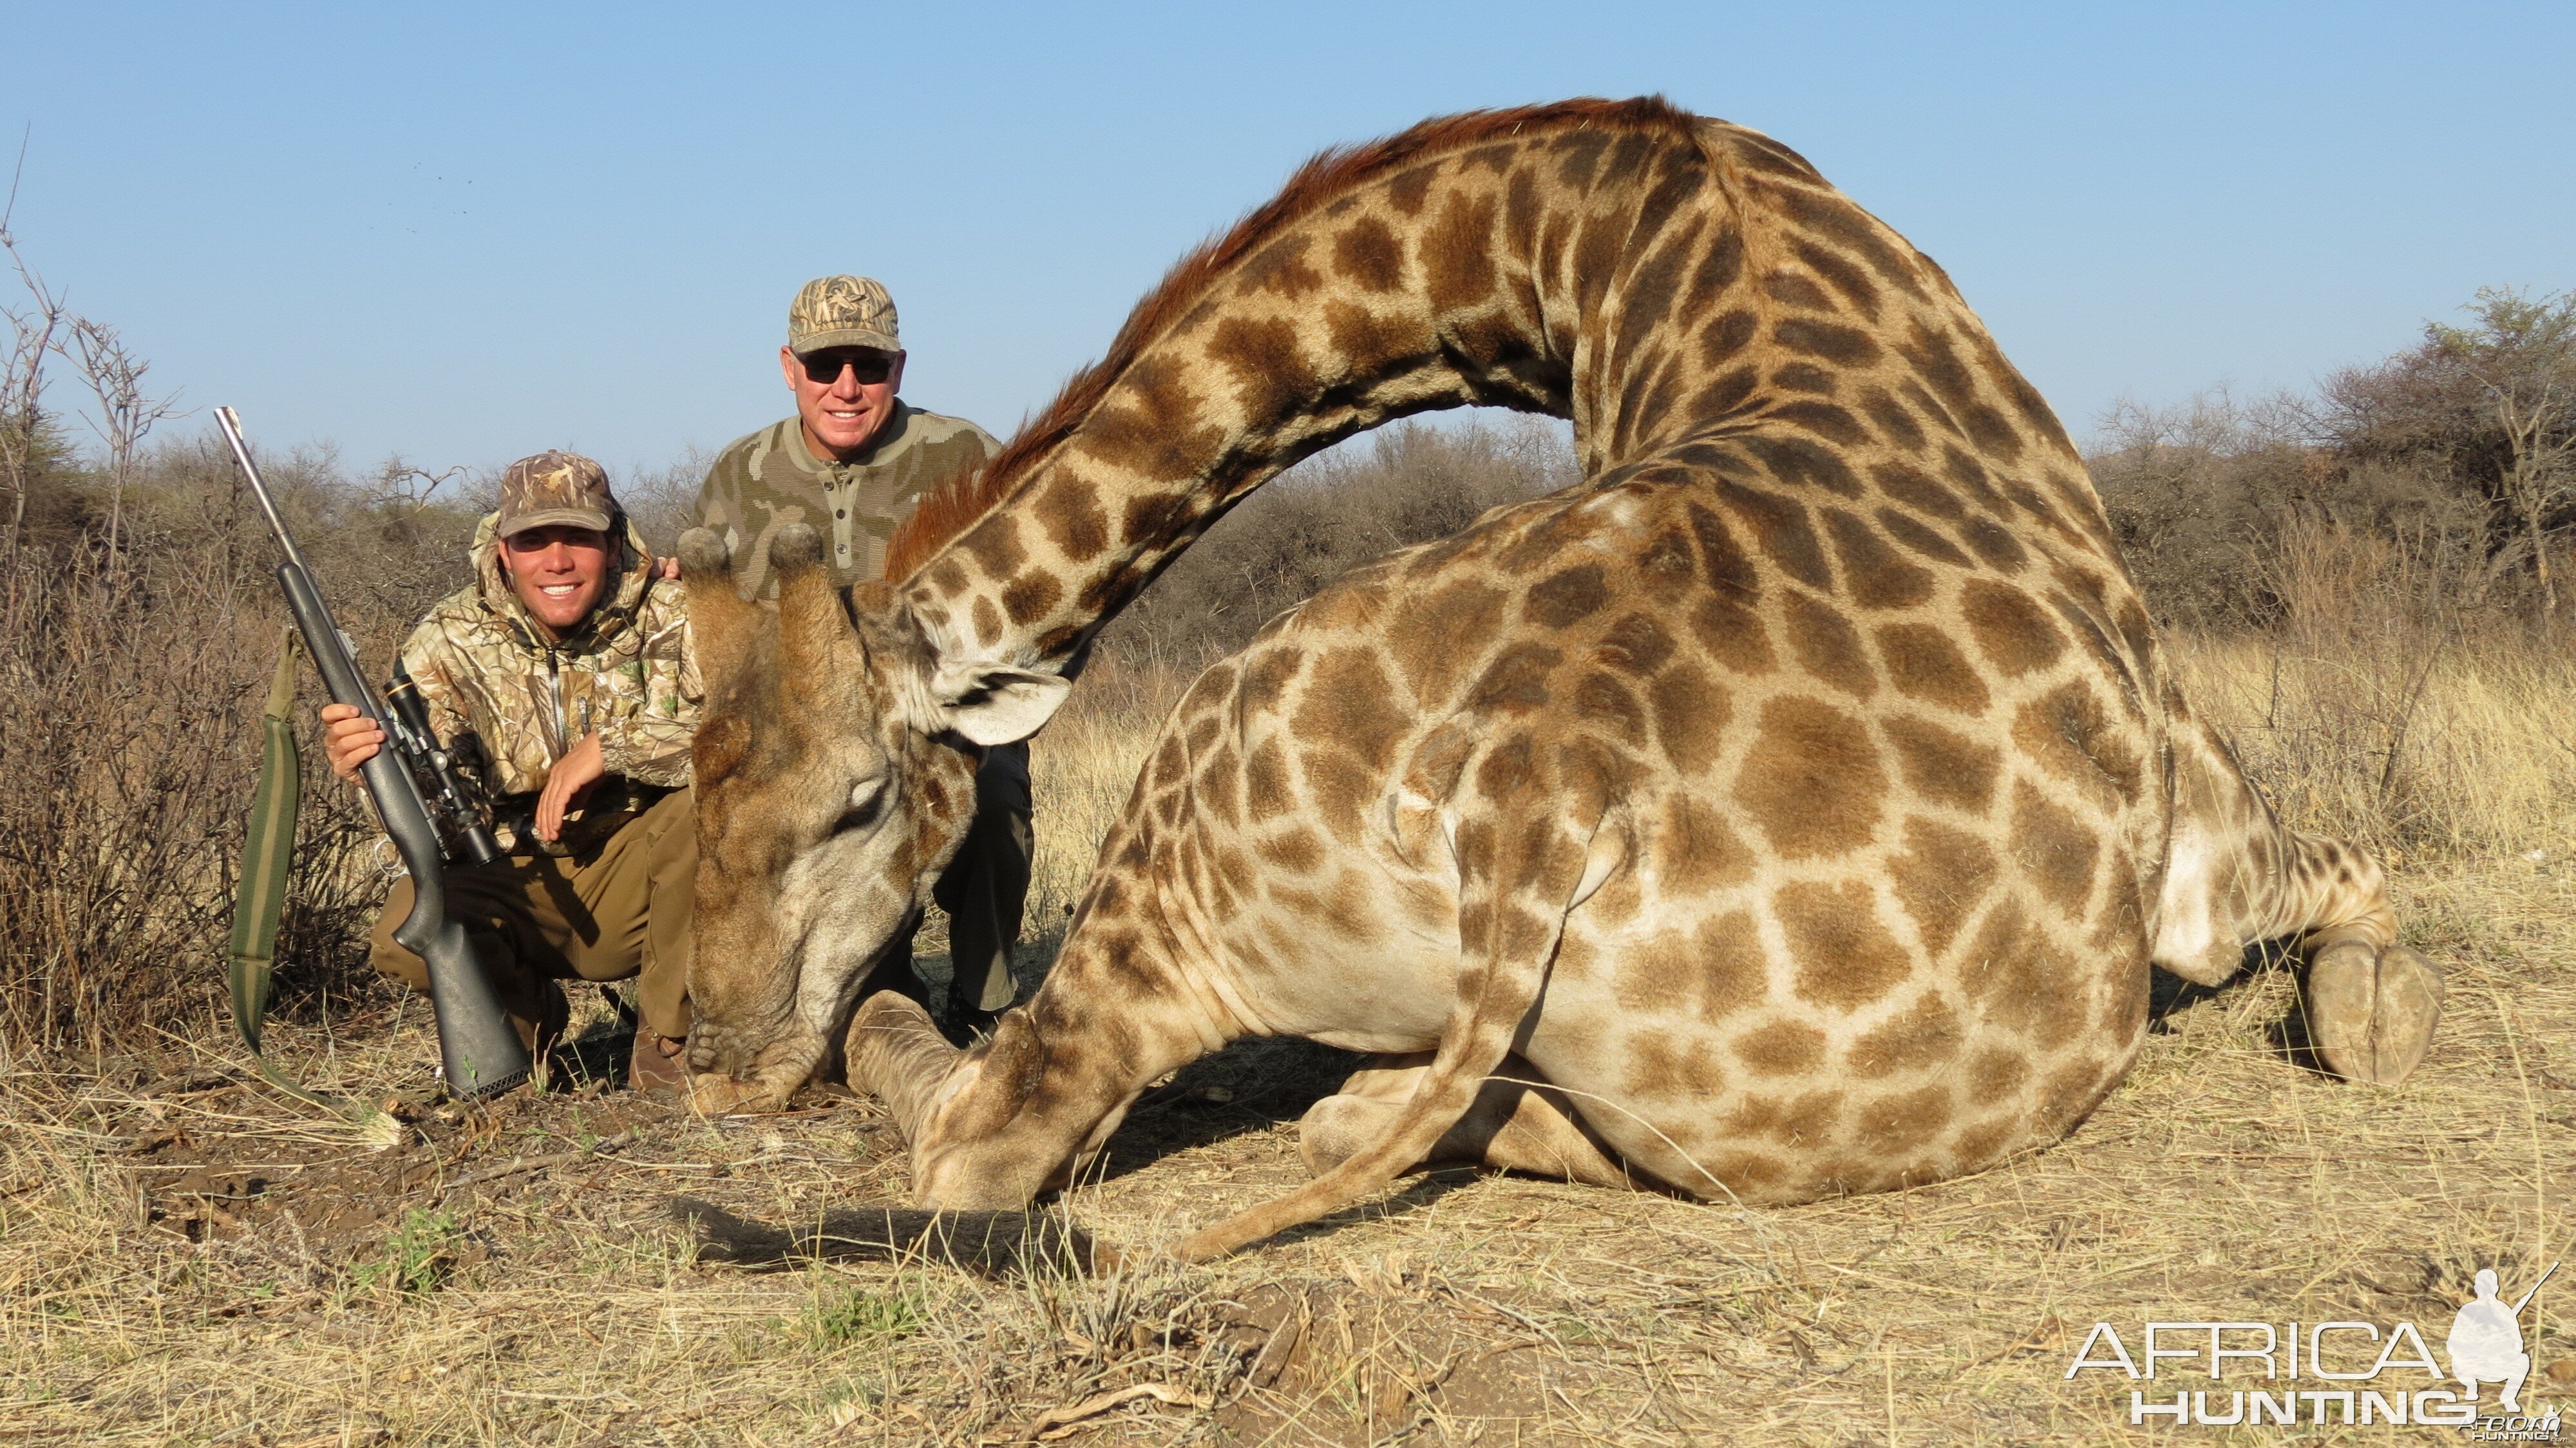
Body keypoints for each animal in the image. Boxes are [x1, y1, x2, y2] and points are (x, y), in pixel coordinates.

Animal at [675, 96, 2442, 1257]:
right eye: (697, 787)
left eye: (856, 802)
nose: (718, 1055)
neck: (1612, 246)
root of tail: (1542, 802)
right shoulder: (2199, 847)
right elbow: (2361, 870)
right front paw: (2373, 1016)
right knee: (1033, 1133)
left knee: (1056, 1123)